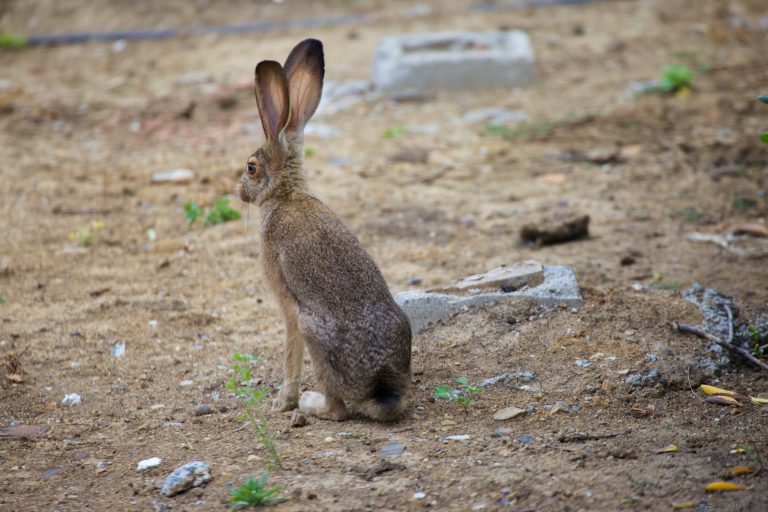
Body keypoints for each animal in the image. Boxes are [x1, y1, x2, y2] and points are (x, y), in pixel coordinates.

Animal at [238, 39, 412, 421]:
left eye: (251, 167)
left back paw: (310, 403)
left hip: (311, 328)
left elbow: (290, 354)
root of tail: (380, 391)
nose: (239, 192)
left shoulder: (288, 303)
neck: (287, 194)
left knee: (339, 409)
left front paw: (282, 401)